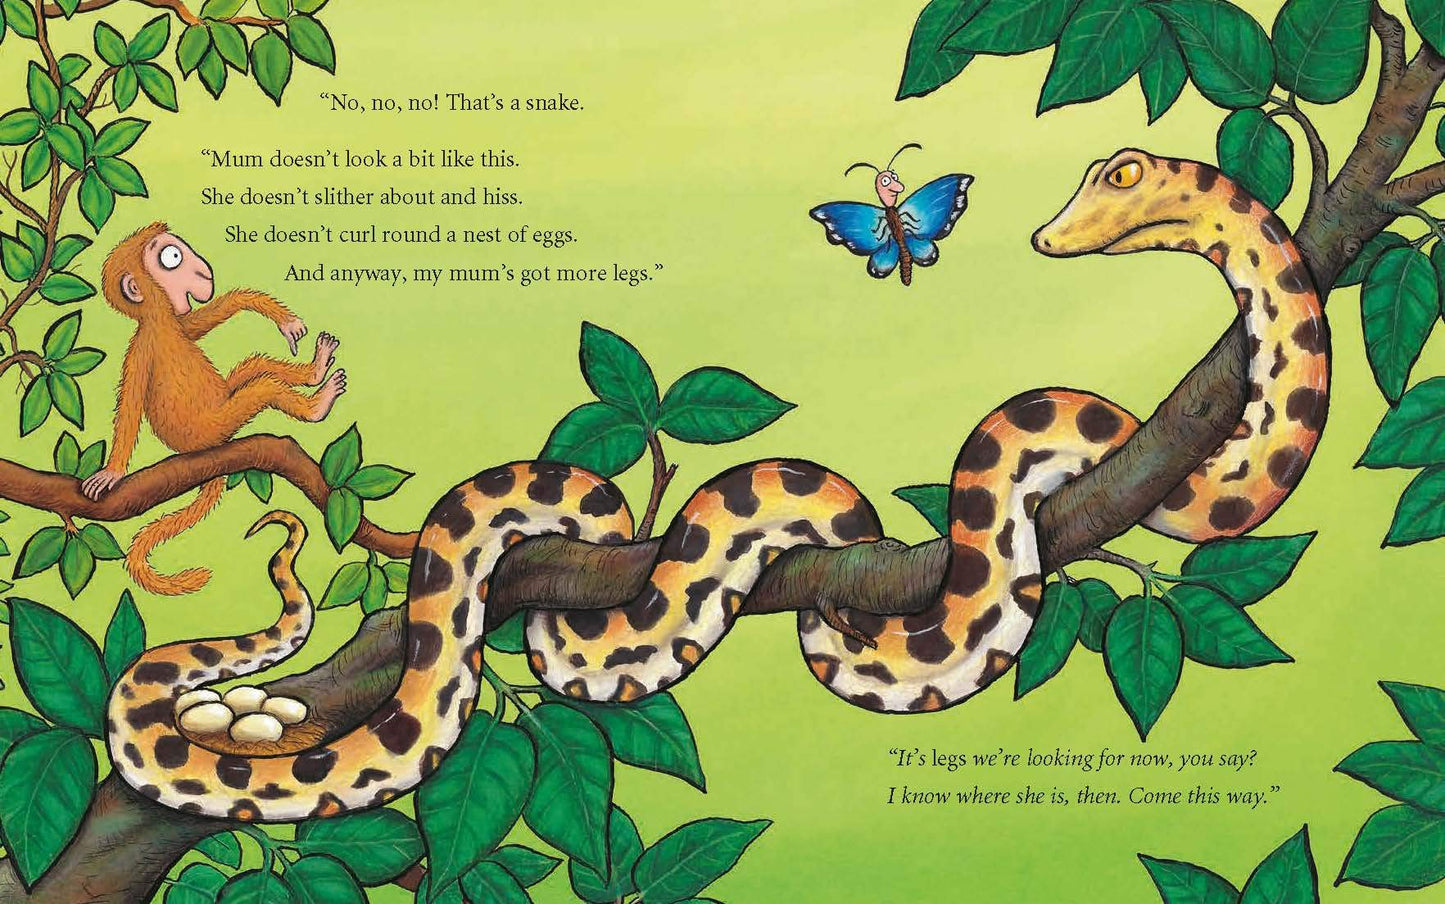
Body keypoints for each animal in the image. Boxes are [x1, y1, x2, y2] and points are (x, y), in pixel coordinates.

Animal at [81, 221, 347, 596]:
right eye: (171, 257)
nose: (203, 269)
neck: (160, 321)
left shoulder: (177, 326)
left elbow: (203, 321)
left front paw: (282, 320)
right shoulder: (142, 348)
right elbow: (131, 403)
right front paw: (112, 473)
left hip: (222, 401)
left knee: (255, 368)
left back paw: (315, 371)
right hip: (215, 423)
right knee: (262, 387)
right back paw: (317, 406)